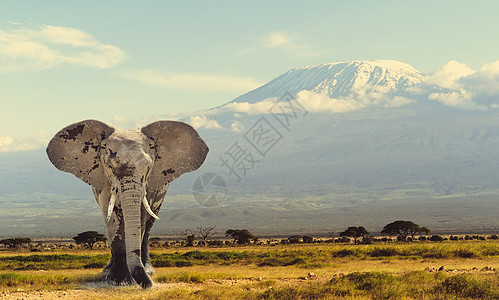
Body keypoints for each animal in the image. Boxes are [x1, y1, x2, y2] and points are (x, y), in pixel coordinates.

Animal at [47, 119, 209, 288]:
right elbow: (112, 221)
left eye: (148, 167)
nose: (150, 285)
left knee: (149, 226)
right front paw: (119, 281)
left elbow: (141, 219)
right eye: (110, 166)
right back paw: (107, 272)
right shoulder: (104, 183)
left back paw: (148, 271)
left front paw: (128, 280)